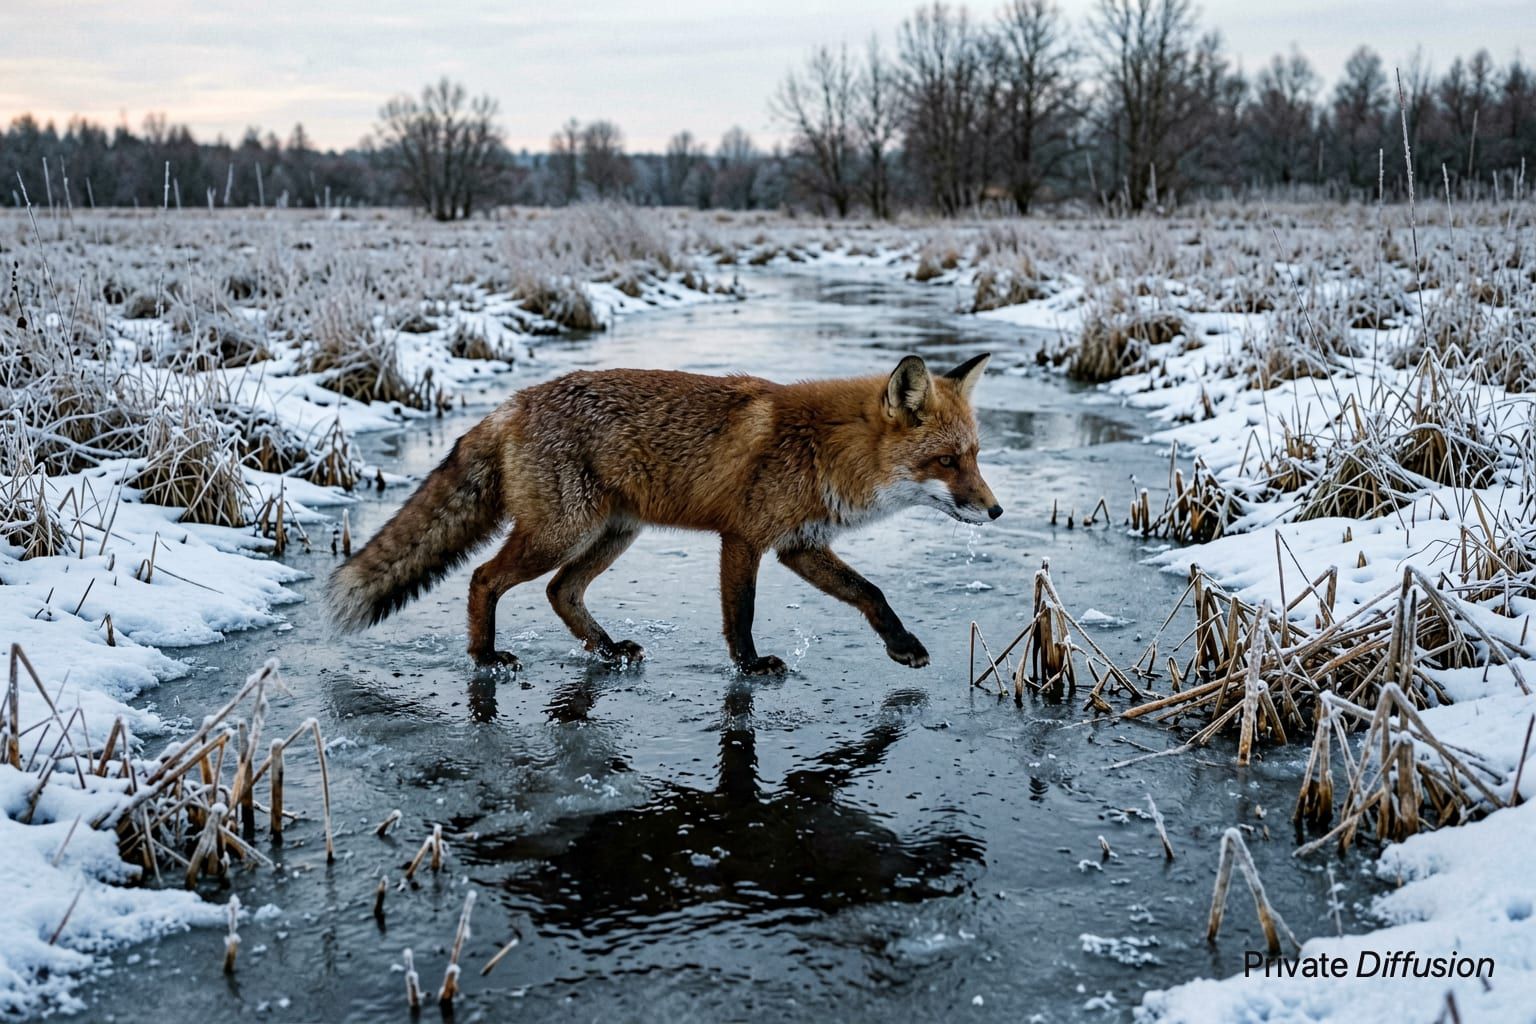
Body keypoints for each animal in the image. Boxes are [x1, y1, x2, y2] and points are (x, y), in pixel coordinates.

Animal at [327, 352, 1002, 675]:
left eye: (974, 456)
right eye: (946, 461)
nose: (995, 511)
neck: (824, 448)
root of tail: (512, 403)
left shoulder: (799, 543)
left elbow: (871, 593)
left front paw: (903, 645)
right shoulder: (745, 538)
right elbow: (740, 616)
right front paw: (750, 667)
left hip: (610, 536)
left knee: (559, 592)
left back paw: (606, 650)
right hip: (562, 532)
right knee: (483, 579)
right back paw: (485, 657)